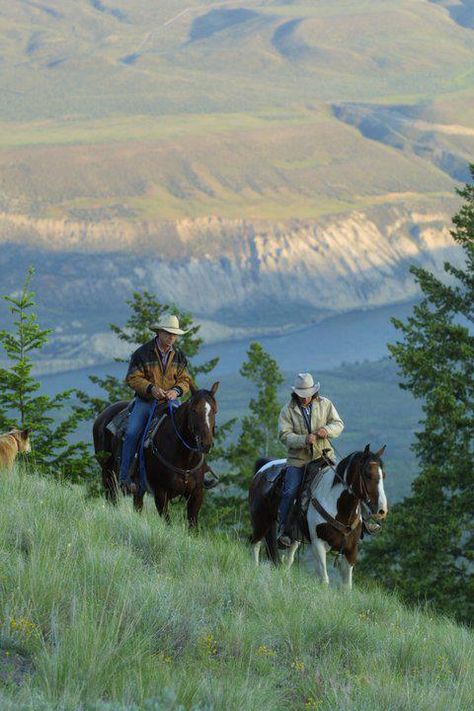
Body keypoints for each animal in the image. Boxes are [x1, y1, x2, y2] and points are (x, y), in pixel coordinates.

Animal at [93, 384, 219, 528]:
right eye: (194, 410)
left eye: (215, 411)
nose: (206, 444)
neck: (184, 458)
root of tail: (101, 416)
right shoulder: (160, 493)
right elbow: (167, 523)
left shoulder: (196, 494)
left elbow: (193, 525)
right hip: (108, 474)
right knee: (112, 499)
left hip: (138, 486)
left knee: (137, 505)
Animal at [248, 444, 388, 588]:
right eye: (367, 474)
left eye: (383, 475)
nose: (382, 511)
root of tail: (263, 468)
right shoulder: (318, 545)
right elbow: (324, 580)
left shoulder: (350, 551)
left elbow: (346, 586)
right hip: (261, 521)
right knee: (255, 543)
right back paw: (254, 571)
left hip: (293, 536)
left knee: (288, 559)